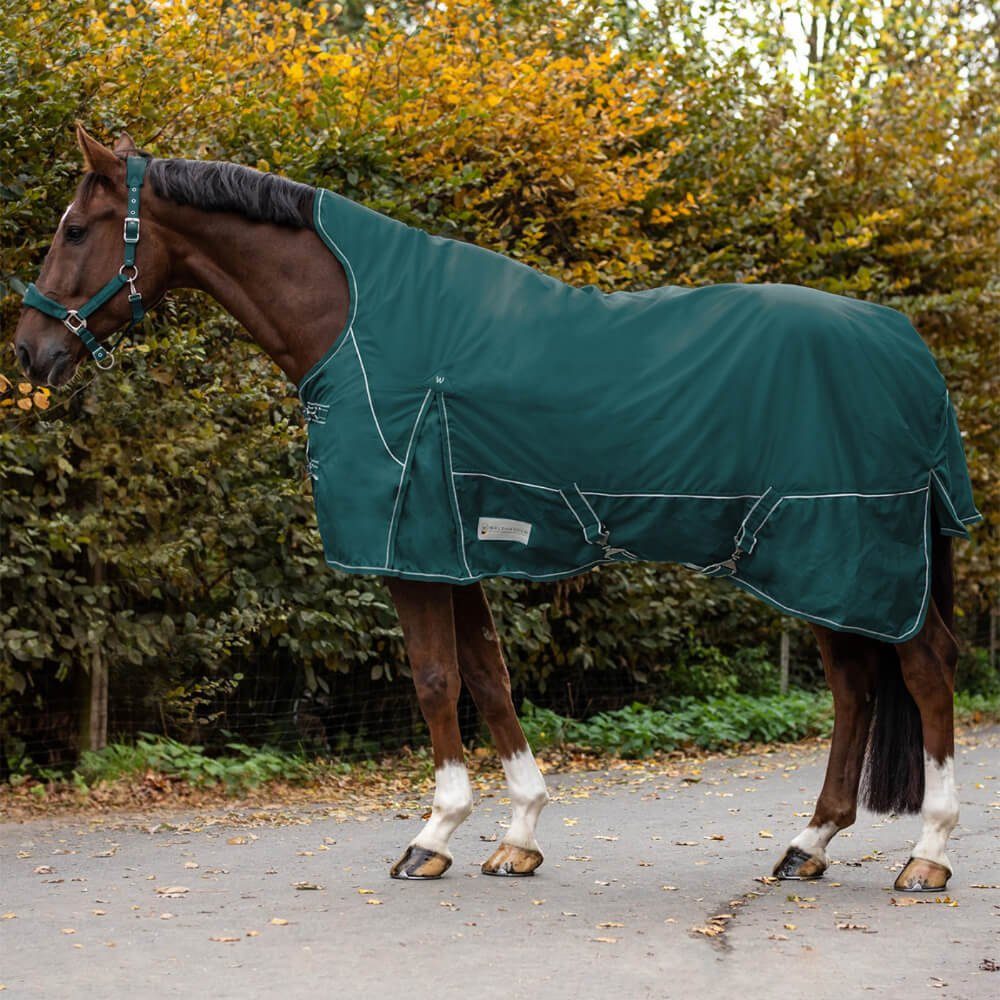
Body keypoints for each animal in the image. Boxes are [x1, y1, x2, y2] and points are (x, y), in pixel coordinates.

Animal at [13, 127, 978, 892]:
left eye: (74, 228)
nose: (30, 351)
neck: (360, 325)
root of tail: (909, 349)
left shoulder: (411, 551)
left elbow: (436, 680)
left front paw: (433, 833)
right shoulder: (453, 548)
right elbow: (490, 677)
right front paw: (516, 834)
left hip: (845, 547)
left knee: (924, 671)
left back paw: (927, 854)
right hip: (827, 564)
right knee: (856, 688)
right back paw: (808, 844)